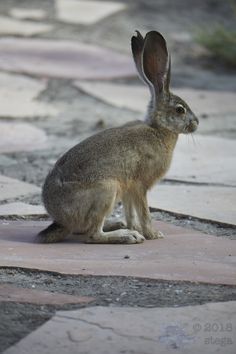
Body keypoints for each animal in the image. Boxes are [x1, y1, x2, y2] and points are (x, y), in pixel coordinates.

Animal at [37, 30, 199, 243]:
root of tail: (62, 220)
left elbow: (130, 212)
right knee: (92, 234)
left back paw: (120, 226)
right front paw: (152, 234)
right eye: (180, 110)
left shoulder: (129, 189)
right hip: (107, 190)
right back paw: (127, 236)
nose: (196, 123)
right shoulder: (139, 185)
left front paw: (135, 227)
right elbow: (144, 212)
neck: (159, 130)